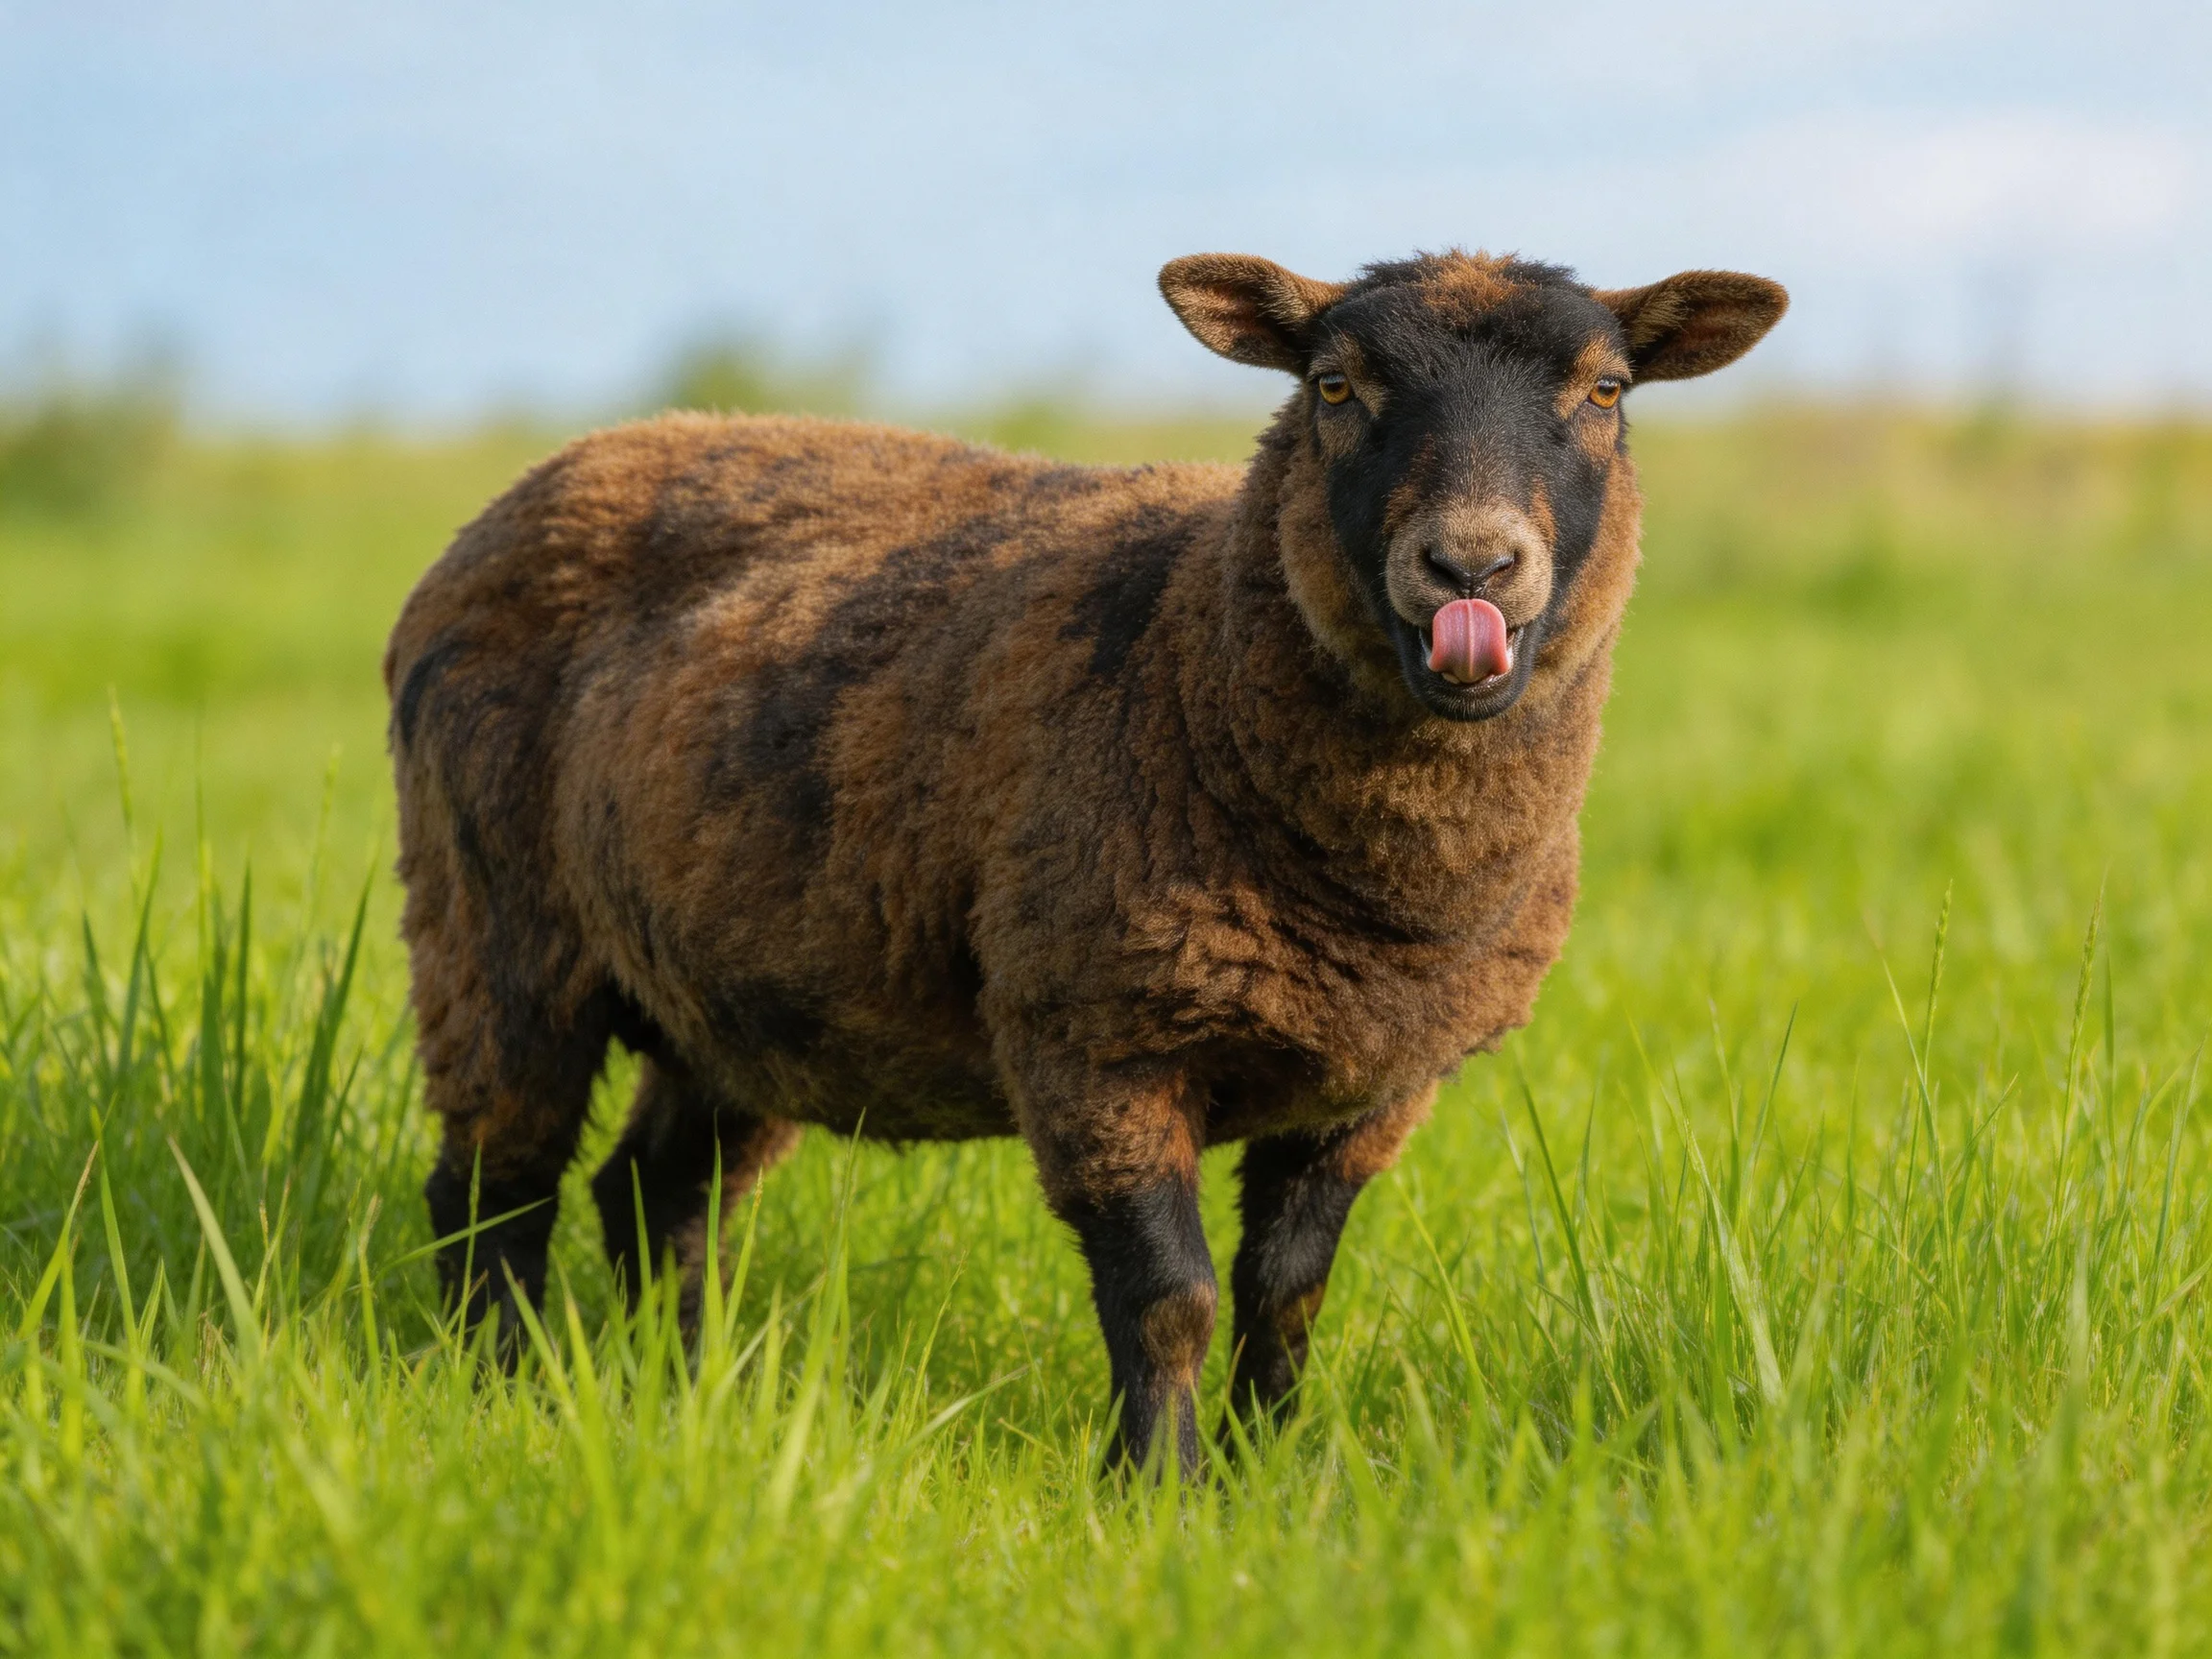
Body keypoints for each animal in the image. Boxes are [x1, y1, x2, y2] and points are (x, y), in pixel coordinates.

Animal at [384, 248, 1786, 1473]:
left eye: (1606, 393)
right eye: (1335, 388)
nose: (1471, 564)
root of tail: (545, 476)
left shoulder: (1374, 1085)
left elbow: (1289, 1295)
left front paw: (1269, 1472)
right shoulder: (1096, 1035)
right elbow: (1173, 1299)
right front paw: (1159, 1492)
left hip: (735, 988)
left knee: (658, 1200)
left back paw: (692, 1393)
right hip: (490, 924)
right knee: (494, 1189)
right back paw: (495, 1391)